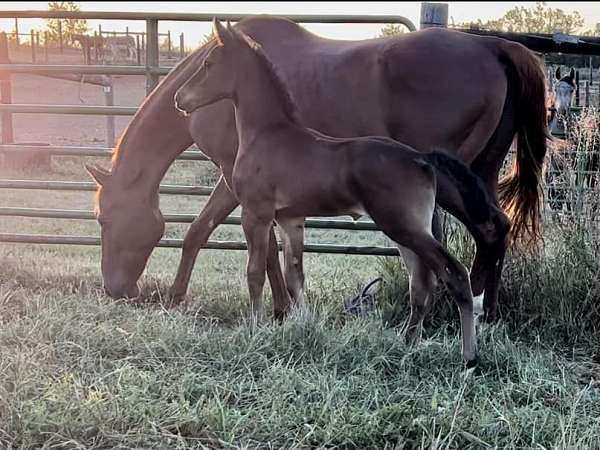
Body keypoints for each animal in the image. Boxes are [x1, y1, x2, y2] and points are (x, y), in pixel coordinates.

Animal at [85, 16, 548, 320]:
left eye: (105, 220)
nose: (115, 289)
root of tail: (494, 47)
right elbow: (274, 252)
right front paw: (283, 308)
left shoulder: (235, 181)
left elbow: (205, 234)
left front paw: (182, 298)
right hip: (478, 174)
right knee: (494, 230)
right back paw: (483, 312)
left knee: (477, 234)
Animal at [173, 21, 506, 366]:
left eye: (208, 63)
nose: (179, 98)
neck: (268, 135)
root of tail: (421, 158)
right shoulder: (290, 219)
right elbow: (295, 275)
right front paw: (302, 326)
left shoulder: (256, 214)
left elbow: (254, 272)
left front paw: (255, 328)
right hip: (409, 231)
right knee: (421, 282)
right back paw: (406, 343)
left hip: (403, 227)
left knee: (453, 274)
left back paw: (468, 357)